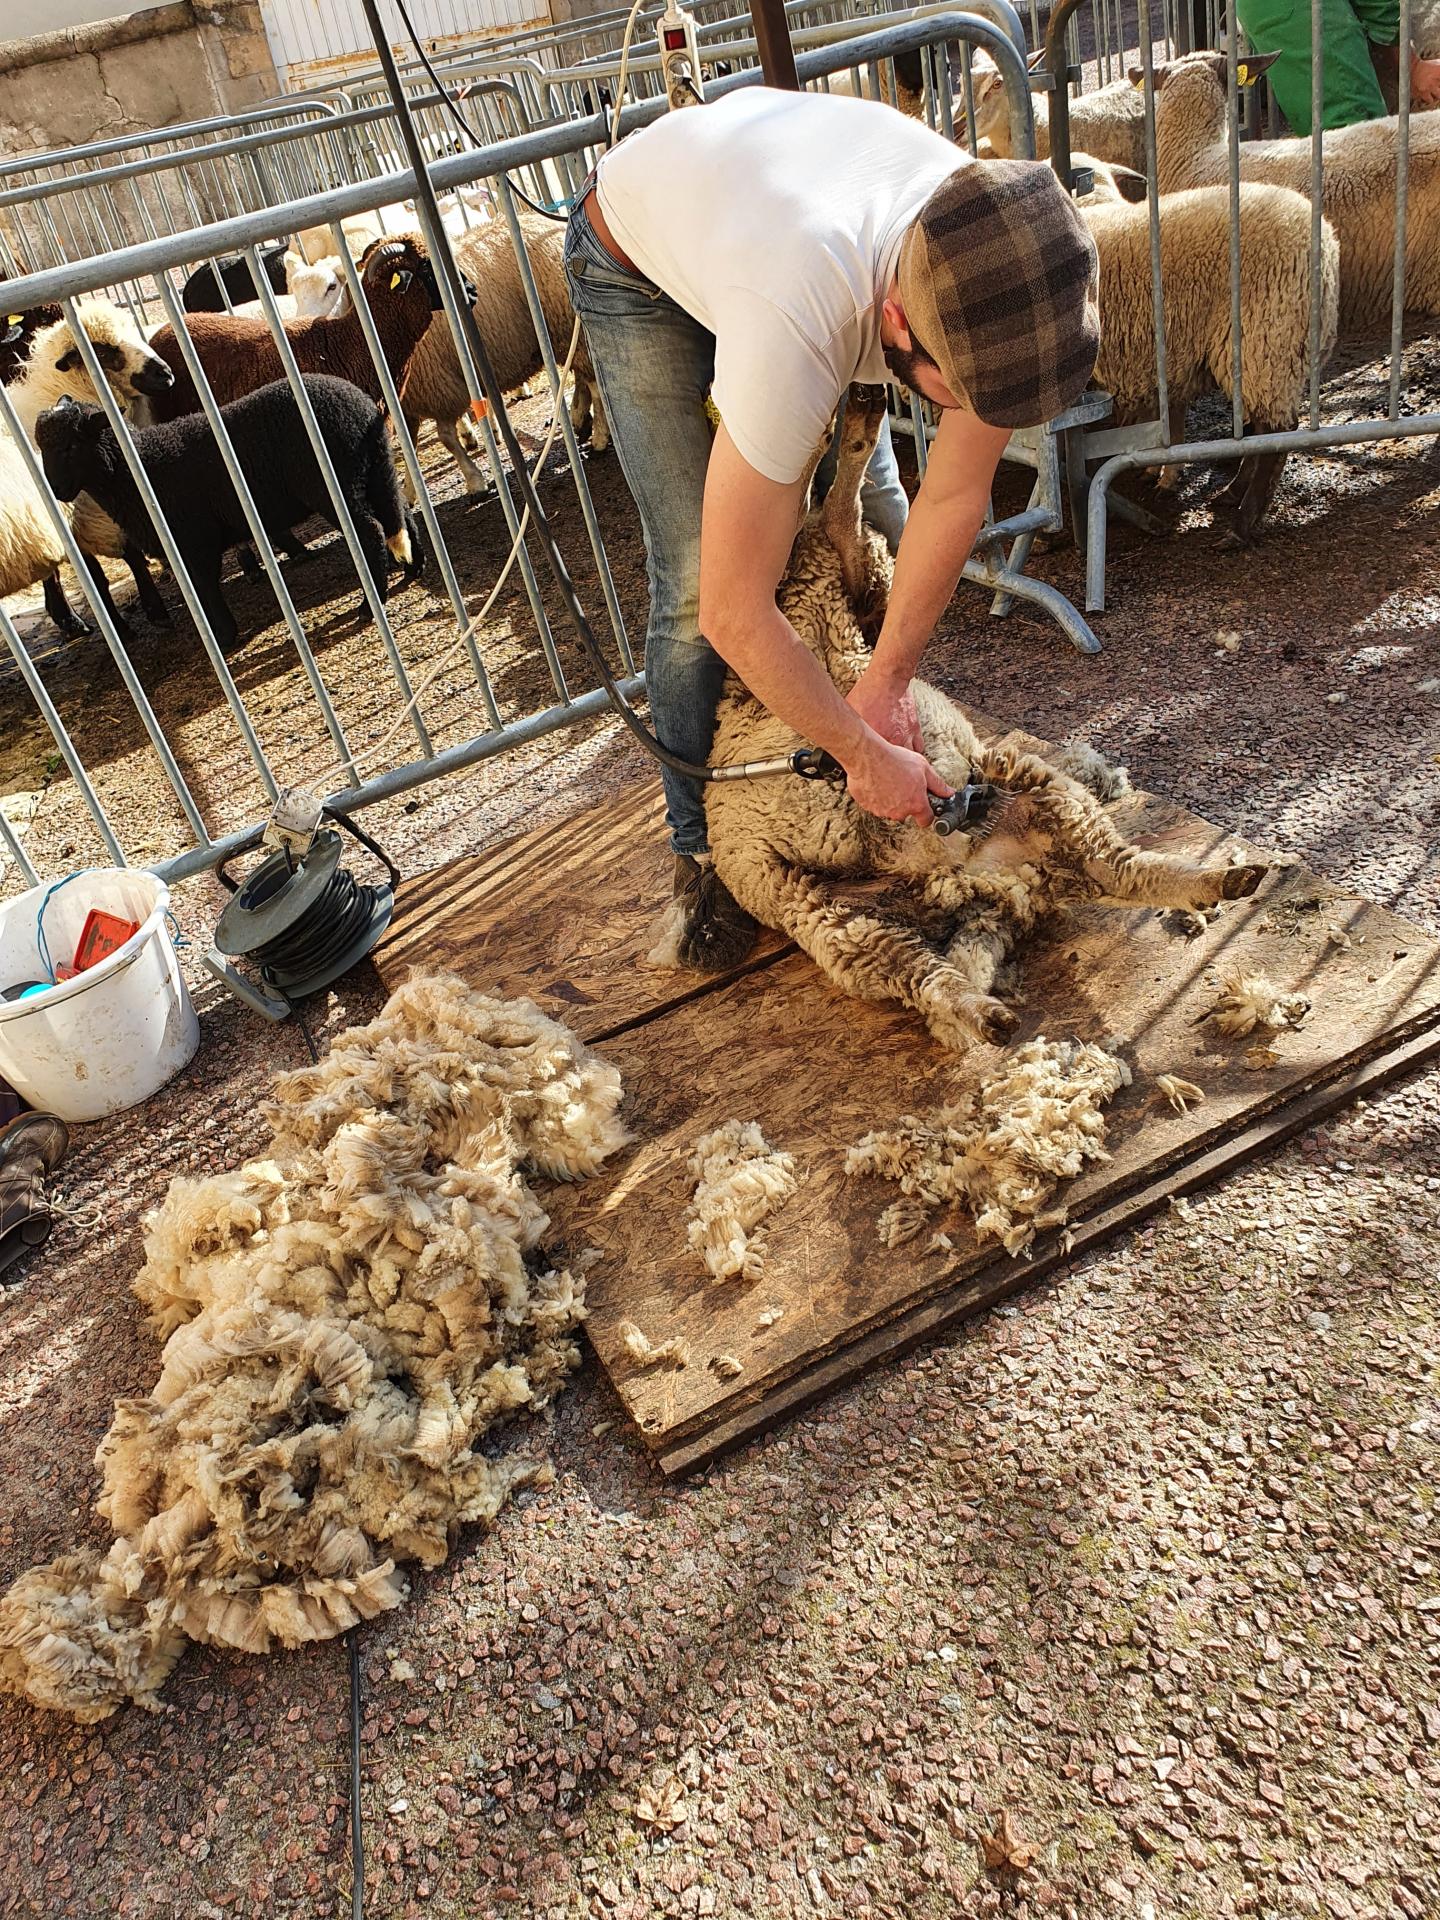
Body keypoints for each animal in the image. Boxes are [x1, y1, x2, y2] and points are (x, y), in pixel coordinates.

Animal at [33, 370, 422, 656]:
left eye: (70, 446)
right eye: (42, 446)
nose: (56, 491)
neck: (137, 469)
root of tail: (360, 407)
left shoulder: (193, 541)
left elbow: (205, 589)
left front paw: (222, 638)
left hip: (335, 484)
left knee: (370, 531)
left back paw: (370, 603)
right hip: (373, 469)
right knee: (400, 514)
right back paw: (413, 569)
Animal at [702, 387, 1274, 1052]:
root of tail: (996, 881)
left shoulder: (844, 590)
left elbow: (841, 507)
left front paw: (854, 425)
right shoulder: (838, 585)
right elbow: (838, 509)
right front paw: (848, 431)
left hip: (1031, 798)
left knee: (1120, 870)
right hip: (832, 913)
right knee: (933, 967)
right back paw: (986, 1013)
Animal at [1082, 146, 1344, 541]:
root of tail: (1326, 241)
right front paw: (1159, 474)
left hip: (1264, 337)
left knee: (1278, 432)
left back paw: (1243, 522)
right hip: (1269, 348)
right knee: (1260, 429)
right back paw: (1232, 493)